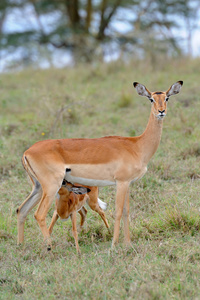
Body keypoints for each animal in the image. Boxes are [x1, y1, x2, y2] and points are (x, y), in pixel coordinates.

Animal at [16, 79, 183, 248]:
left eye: (167, 98)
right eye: (151, 99)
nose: (161, 111)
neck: (137, 146)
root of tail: (27, 152)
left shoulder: (128, 184)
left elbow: (126, 212)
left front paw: (128, 243)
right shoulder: (121, 182)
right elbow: (118, 212)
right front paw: (114, 245)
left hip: (38, 187)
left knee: (21, 210)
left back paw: (21, 247)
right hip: (51, 186)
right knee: (39, 214)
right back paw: (49, 247)